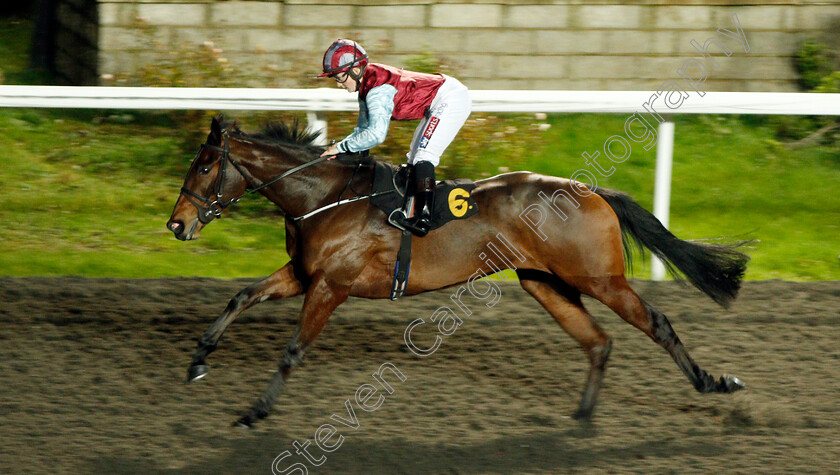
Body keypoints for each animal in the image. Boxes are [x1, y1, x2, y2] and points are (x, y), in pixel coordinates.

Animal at [166, 117, 748, 430]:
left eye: (204, 166)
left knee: (657, 323)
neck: (324, 198)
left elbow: (292, 351)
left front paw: (255, 412)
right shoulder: (303, 274)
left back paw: (715, 382)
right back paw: (581, 419)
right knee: (598, 342)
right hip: (544, 282)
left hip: (599, 278)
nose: (176, 224)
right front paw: (197, 361)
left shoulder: (331, 286)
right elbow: (240, 297)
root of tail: (591, 189)